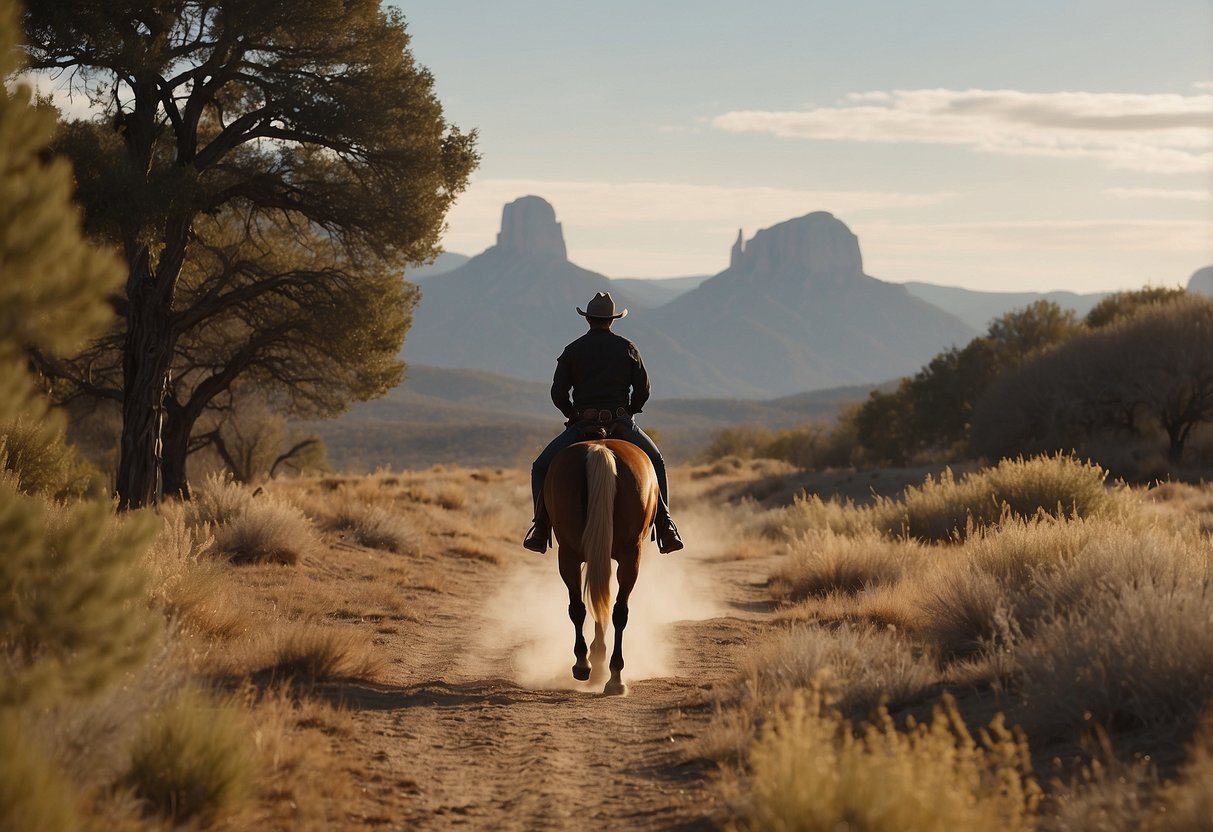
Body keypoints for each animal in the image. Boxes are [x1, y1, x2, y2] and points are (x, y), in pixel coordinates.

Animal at [545, 443, 659, 698]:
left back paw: (590, 666)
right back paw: (612, 675)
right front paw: (597, 659)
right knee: (615, 611)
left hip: (571, 554)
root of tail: (599, 447)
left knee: (585, 607)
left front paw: (595, 658)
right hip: (628, 555)